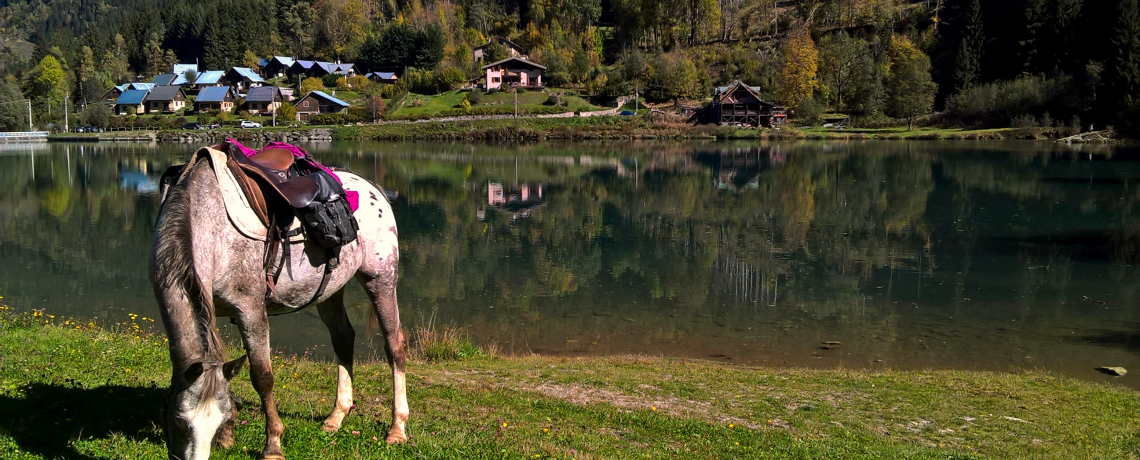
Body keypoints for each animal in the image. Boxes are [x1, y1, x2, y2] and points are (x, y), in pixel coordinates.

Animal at [150, 145, 410, 457]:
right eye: (178, 421)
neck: (208, 223)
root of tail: (373, 188)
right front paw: (228, 436)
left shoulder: (250, 309)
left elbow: (262, 376)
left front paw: (272, 444)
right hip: (330, 290)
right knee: (343, 338)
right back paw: (336, 416)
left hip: (379, 278)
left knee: (394, 345)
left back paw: (397, 428)